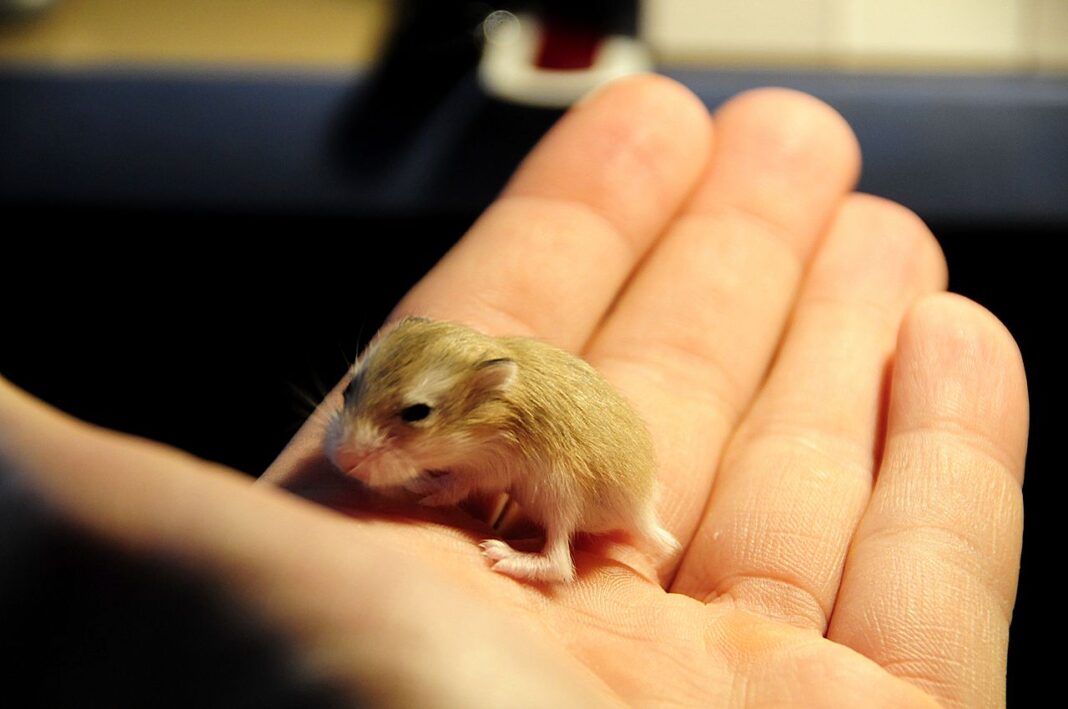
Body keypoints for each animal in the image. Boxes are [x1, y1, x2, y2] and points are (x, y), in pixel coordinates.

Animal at [324, 317, 679, 583]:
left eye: (417, 412)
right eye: (348, 388)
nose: (342, 461)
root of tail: (642, 513)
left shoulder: (488, 468)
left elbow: (452, 486)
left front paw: (420, 486)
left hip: (560, 494)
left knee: (559, 564)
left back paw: (501, 555)